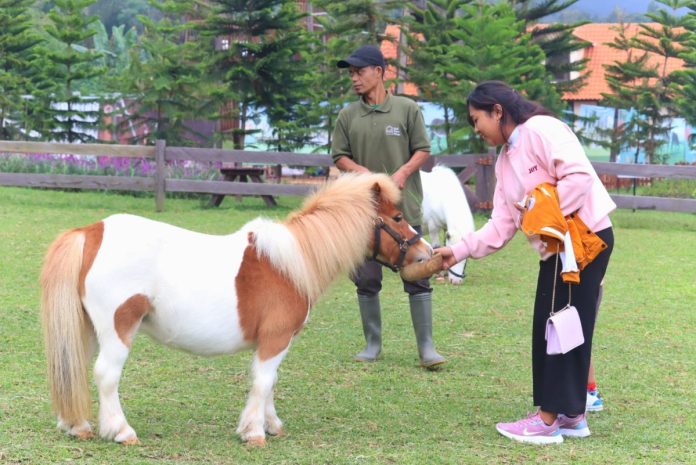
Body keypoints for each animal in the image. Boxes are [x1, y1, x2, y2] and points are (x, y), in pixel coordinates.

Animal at [39, 172, 436, 444]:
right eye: (397, 218)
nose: (426, 253)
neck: (291, 263)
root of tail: (90, 232)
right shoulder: (275, 339)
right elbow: (262, 381)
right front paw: (254, 432)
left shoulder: (276, 343)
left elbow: (270, 382)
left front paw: (271, 425)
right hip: (119, 329)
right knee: (106, 375)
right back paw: (121, 431)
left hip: (89, 330)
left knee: (74, 368)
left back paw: (77, 425)